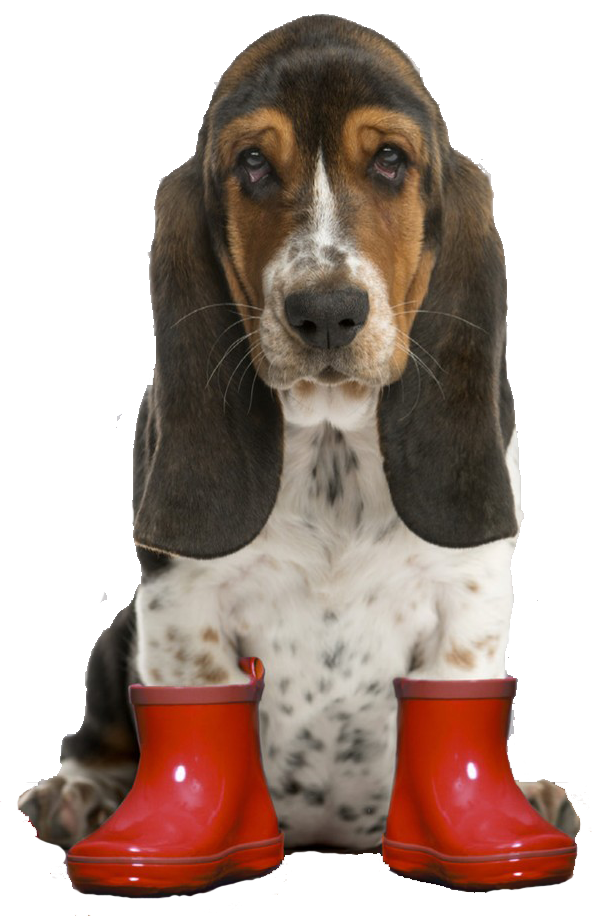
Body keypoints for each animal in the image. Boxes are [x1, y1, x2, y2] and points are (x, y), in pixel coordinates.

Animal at [19, 14, 580, 856]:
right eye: (252, 164)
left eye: (389, 161)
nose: (324, 313)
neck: (330, 445)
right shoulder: (181, 607)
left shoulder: (466, 599)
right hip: (118, 634)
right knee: (98, 739)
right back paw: (76, 798)